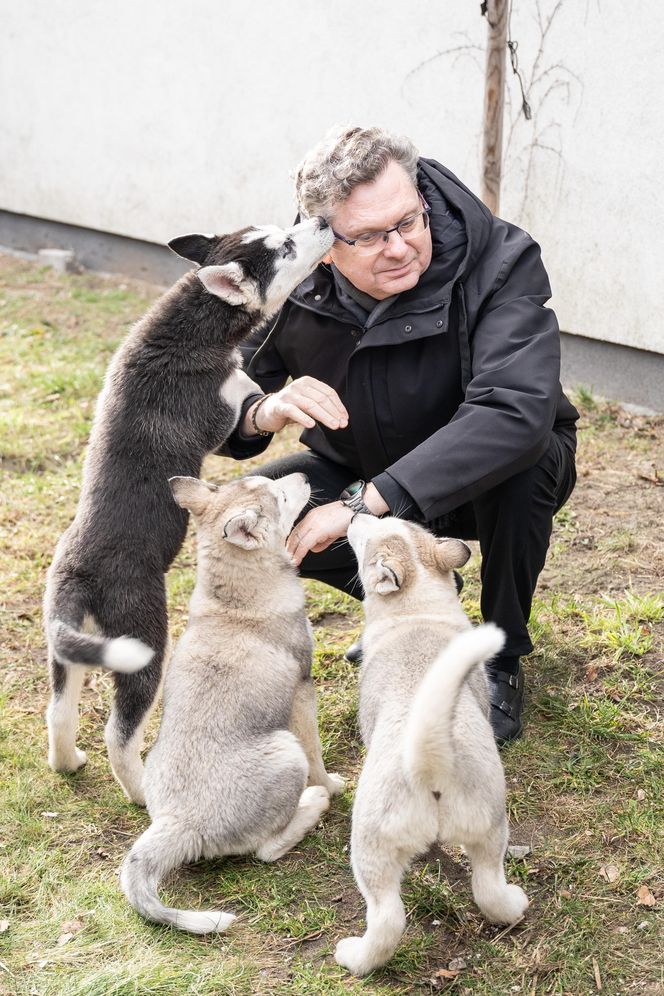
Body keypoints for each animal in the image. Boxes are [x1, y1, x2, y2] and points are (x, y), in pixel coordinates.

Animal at [44, 216, 334, 800]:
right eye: (287, 247)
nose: (319, 220)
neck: (191, 322)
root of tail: (80, 571)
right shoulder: (220, 415)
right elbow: (251, 392)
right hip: (144, 642)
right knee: (119, 732)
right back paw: (139, 791)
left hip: (72, 648)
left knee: (58, 710)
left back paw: (67, 761)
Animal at [121, 472, 344, 932]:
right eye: (280, 495)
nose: (304, 476)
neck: (234, 598)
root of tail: (181, 824)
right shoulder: (303, 690)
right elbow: (317, 755)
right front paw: (331, 785)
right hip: (286, 752)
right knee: (266, 849)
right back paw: (313, 804)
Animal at [338, 512, 528, 972]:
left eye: (365, 536)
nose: (355, 512)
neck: (416, 611)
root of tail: (429, 758)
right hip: (489, 826)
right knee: (488, 888)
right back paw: (513, 907)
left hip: (368, 849)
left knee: (387, 919)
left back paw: (354, 956)